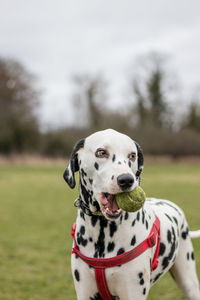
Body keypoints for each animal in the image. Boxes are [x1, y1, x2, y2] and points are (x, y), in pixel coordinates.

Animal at [63, 129, 199, 300]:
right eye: (101, 152)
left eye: (132, 155)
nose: (127, 180)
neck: (103, 233)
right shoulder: (85, 293)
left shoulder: (133, 291)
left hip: (189, 281)